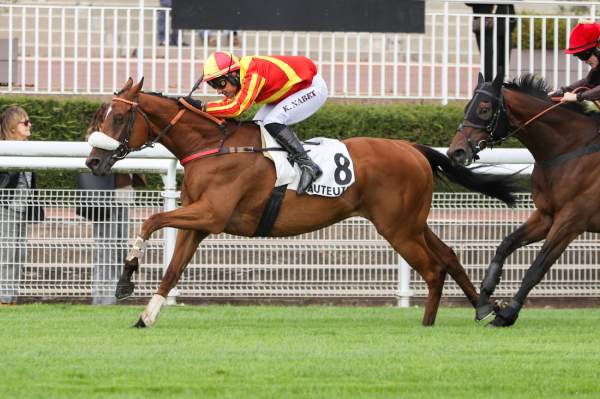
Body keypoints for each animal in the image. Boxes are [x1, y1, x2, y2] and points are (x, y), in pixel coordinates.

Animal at [85, 78, 516, 328]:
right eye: (98, 114)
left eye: (118, 117)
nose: (92, 161)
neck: (211, 146)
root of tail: (412, 149)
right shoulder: (201, 223)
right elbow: (173, 268)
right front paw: (146, 316)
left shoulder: (211, 213)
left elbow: (151, 221)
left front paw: (125, 280)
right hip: (412, 222)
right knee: (449, 256)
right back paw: (484, 309)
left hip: (398, 228)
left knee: (432, 268)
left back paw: (429, 324)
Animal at [448, 72, 600, 328]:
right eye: (468, 106)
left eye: (484, 109)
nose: (455, 152)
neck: (569, 150)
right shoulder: (546, 215)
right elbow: (506, 244)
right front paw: (485, 302)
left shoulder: (572, 220)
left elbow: (537, 267)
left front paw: (507, 314)